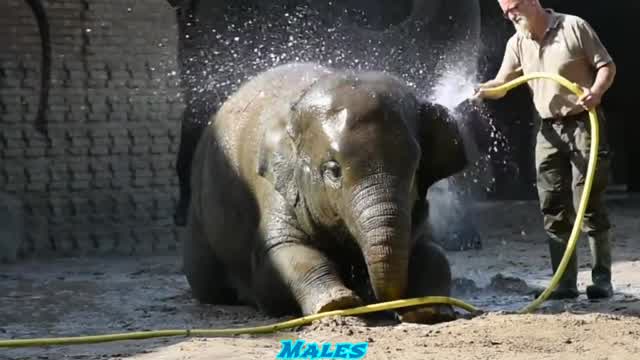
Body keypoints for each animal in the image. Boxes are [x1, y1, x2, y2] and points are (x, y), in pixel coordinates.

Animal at [182, 62, 468, 324]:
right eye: (333, 171)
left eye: (416, 168)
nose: (380, 301)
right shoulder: (276, 188)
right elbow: (282, 254)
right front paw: (337, 305)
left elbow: (432, 251)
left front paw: (430, 309)